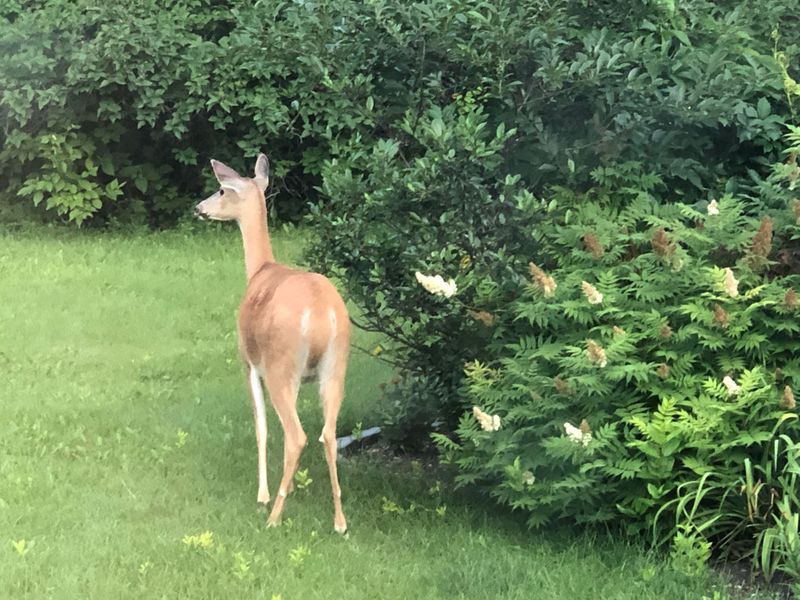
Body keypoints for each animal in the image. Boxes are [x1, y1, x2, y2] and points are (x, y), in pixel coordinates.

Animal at [194, 154, 350, 534]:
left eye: (222, 190)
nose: (199, 208)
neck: (260, 269)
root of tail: (320, 313)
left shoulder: (248, 362)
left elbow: (261, 427)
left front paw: (264, 494)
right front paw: (289, 486)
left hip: (282, 363)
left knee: (297, 435)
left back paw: (274, 516)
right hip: (335, 364)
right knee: (328, 434)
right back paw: (339, 521)